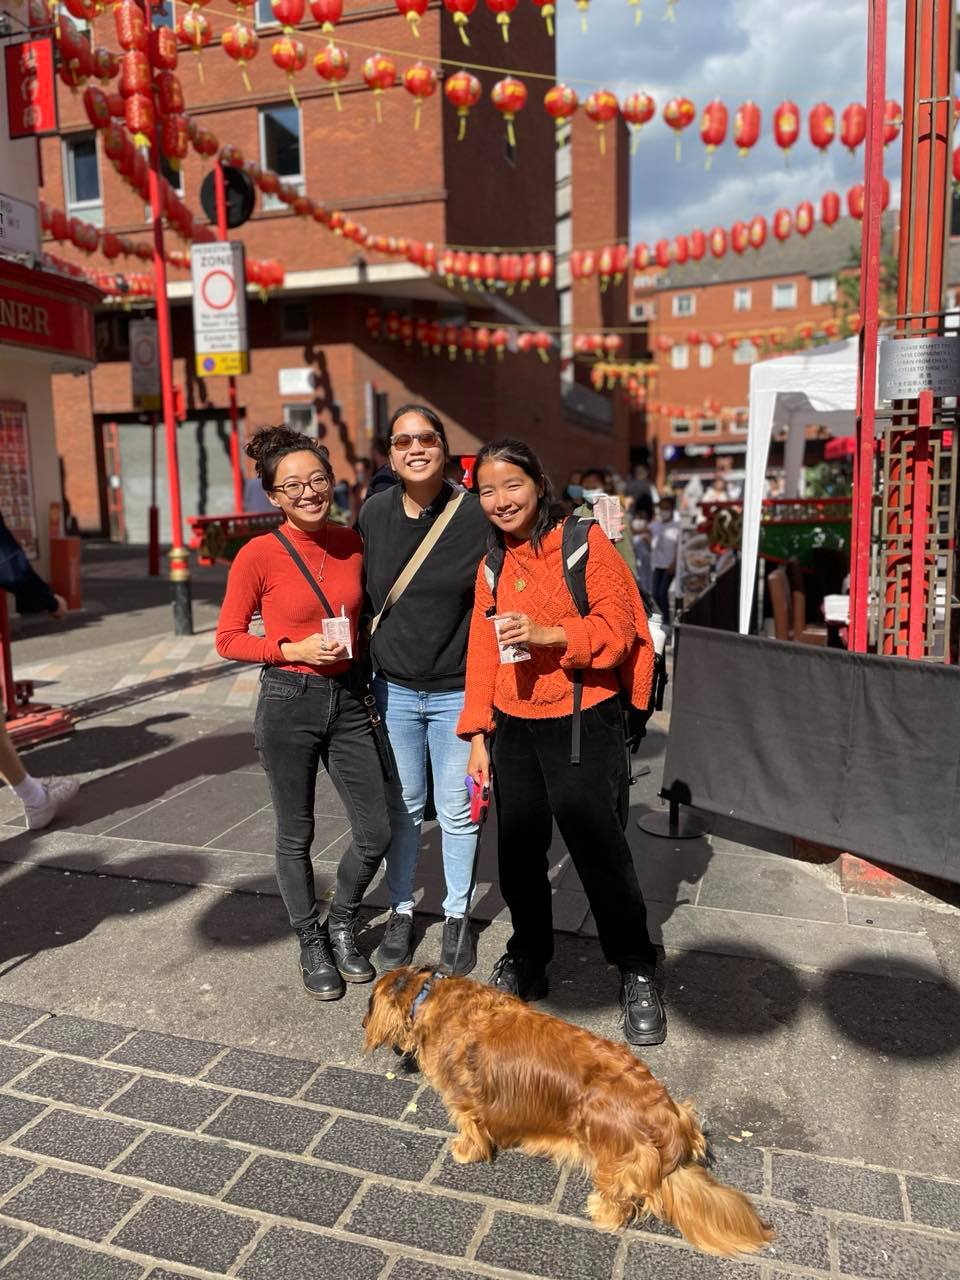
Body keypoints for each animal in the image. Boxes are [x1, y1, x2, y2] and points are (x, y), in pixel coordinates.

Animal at [363, 962, 773, 1254]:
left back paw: (600, 1212)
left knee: (619, 1198)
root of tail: (669, 1121)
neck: (429, 993)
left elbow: (471, 1128)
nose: (363, 1021)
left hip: (607, 1146)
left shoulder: (464, 1101)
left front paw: (466, 1150)